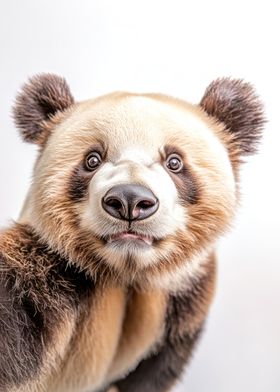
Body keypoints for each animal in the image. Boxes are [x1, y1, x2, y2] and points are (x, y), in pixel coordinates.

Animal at [0, 74, 264, 392]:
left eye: (174, 162)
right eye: (92, 159)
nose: (129, 200)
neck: (125, 273)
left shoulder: (183, 294)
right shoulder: (41, 273)